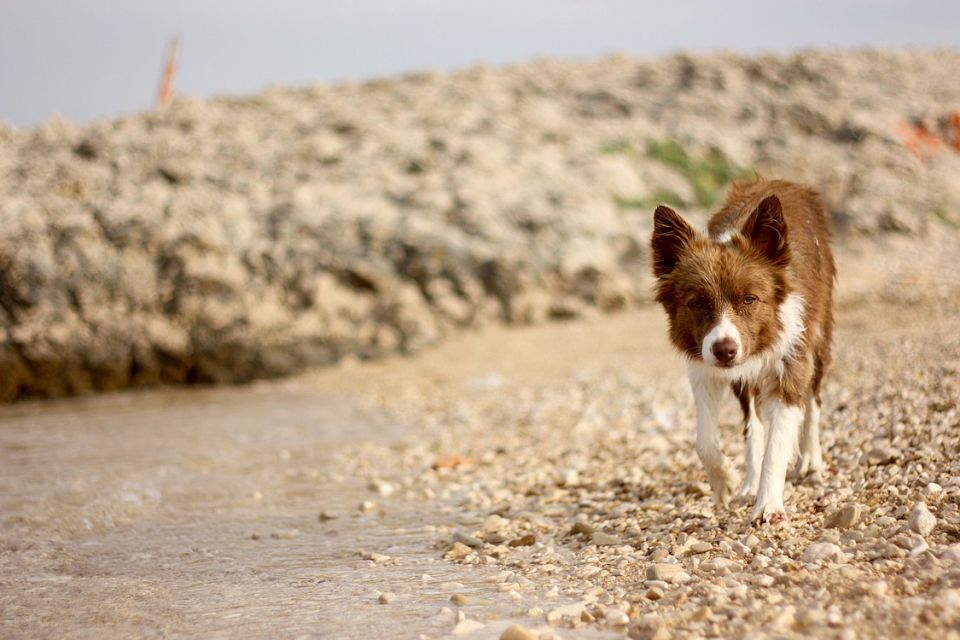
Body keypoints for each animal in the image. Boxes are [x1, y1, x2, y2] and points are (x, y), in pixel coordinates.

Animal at [648, 178, 836, 524]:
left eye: (749, 299)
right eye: (697, 302)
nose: (726, 350)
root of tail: (782, 181)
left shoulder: (790, 361)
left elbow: (777, 444)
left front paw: (769, 504)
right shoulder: (703, 369)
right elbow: (705, 442)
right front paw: (726, 483)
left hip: (820, 338)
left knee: (814, 401)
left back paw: (811, 460)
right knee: (753, 424)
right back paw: (750, 481)